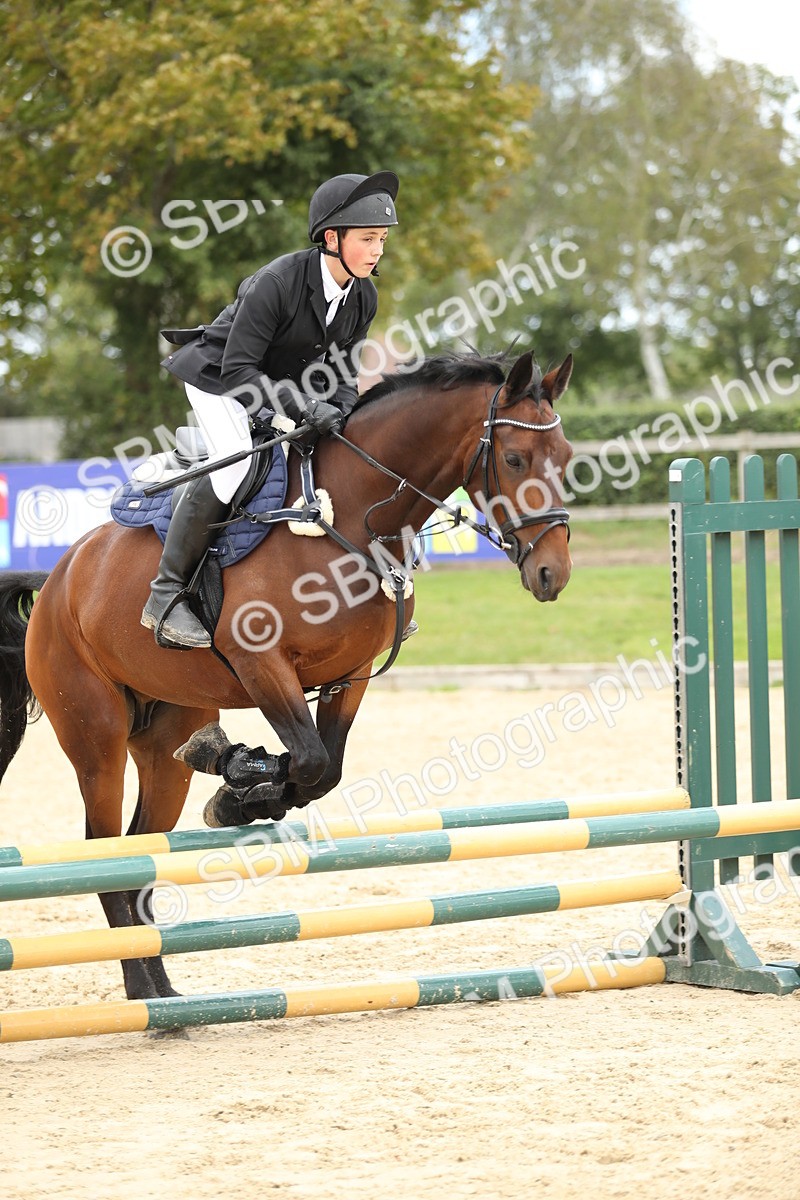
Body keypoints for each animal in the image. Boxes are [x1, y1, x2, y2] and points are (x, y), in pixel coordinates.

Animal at [0, 348, 574, 1001]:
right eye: (514, 458)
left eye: (566, 457)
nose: (553, 573)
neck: (352, 513)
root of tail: (57, 579)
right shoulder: (261, 664)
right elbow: (310, 759)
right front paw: (237, 785)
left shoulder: (349, 674)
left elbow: (322, 769)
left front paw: (238, 786)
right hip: (96, 739)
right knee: (105, 852)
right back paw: (144, 992)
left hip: (165, 735)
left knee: (142, 846)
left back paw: (162, 991)